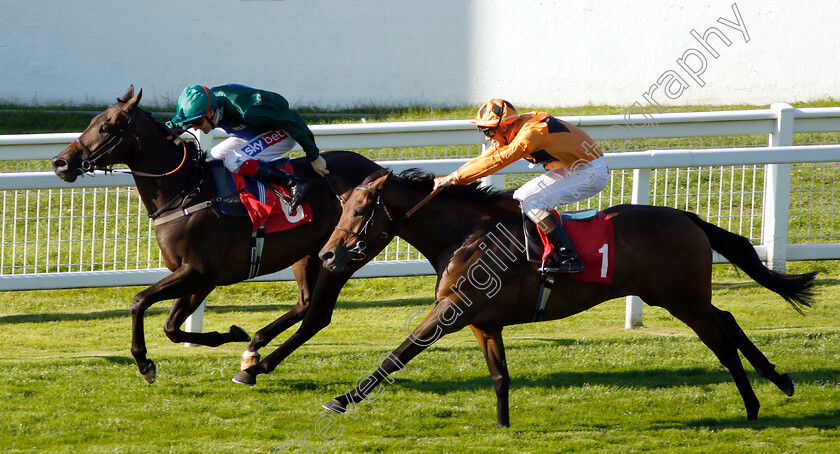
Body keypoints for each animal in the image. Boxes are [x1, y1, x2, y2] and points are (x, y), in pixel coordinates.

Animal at [54, 87, 388, 384]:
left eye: (107, 127)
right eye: (92, 121)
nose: (60, 162)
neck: (186, 191)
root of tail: (379, 170)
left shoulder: (198, 272)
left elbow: (140, 301)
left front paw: (145, 363)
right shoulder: (196, 276)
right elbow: (171, 327)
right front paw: (230, 334)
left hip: (344, 256)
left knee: (317, 315)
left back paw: (255, 366)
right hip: (310, 253)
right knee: (305, 303)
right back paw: (254, 346)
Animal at [316, 168, 812, 428]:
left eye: (361, 210)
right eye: (342, 206)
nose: (327, 254)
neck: (466, 234)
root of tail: (688, 217)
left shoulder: (452, 310)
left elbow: (398, 354)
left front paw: (340, 400)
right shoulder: (483, 321)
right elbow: (500, 376)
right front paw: (502, 427)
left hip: (681, 298)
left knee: (721, 339)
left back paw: (753, 404)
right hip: (682, 296)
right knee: (727, 318)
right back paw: (780, 381)